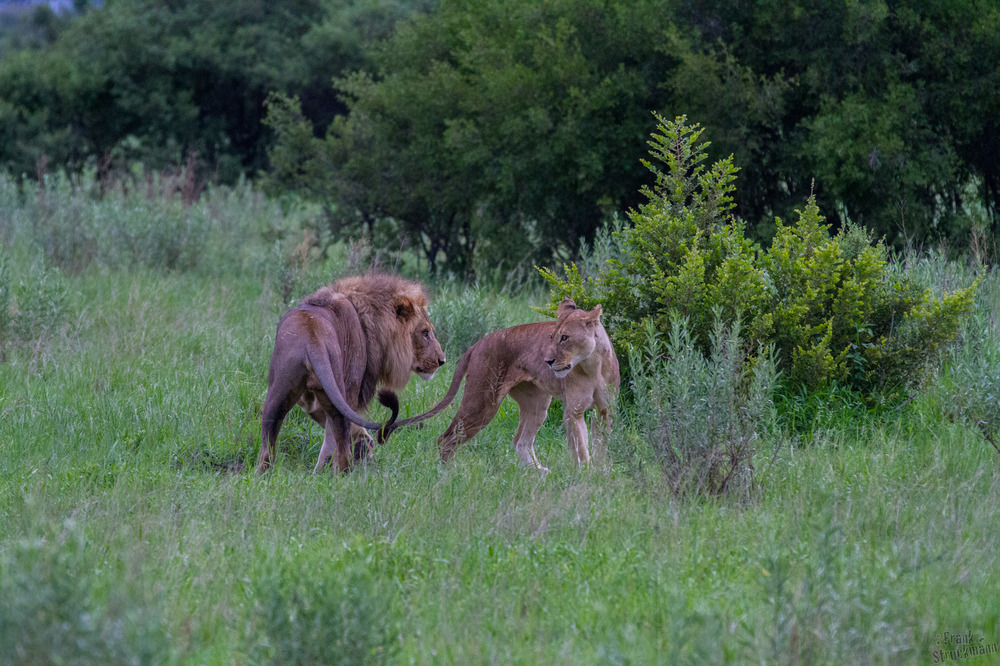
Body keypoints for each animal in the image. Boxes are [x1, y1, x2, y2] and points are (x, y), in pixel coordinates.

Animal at [258, 272, 446, 472]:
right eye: (425, 332)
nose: (442, 361)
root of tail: (312, 339)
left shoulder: (311, 402)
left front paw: (364, 444)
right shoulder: (350, 390)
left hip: (278, 391)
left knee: (268, 445)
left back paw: (264, 474)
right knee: (340, 447)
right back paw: (338, 474)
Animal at [380, 298, 620, 470]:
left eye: (565, 338)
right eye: (552, 337)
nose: (548, 361)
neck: (592, 365)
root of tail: (476, 344)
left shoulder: (605, 410)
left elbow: (601, 445)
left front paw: (599, 472)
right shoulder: (573, 411)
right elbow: (581, 446)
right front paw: (586, 474)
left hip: (537, 403)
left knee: (520, 441)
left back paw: (538, 473)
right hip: (483, 402)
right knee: (445, 439)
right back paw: (450, 474)